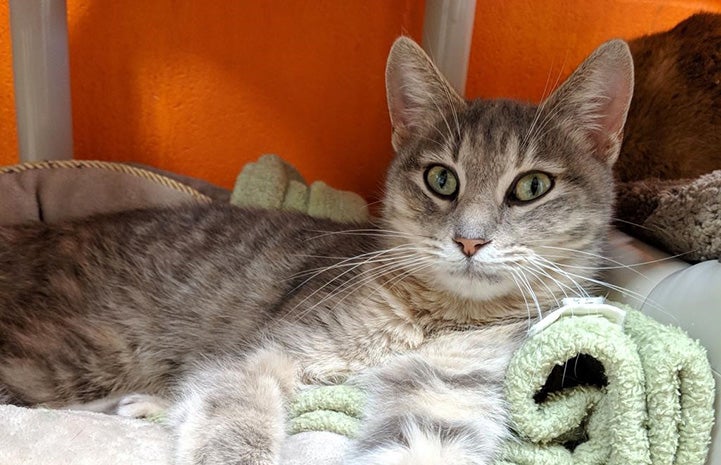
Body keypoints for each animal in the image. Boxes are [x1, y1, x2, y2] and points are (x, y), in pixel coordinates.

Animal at [0, 37, 632, 464]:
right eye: (441, 179)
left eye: (532, 186)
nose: (469, 238)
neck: (436, 316)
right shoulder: (259, 355)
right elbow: (235, 416)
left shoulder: (449, 394)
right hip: (69, 358)